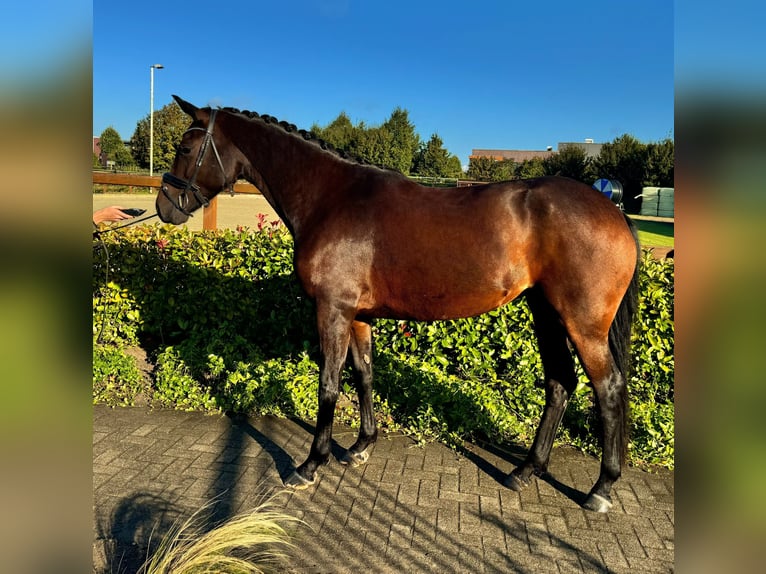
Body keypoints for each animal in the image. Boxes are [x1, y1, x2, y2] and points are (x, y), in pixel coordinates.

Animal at [158, 97, 640, 516]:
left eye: (184, 148)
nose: (165, 207)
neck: (331, 197)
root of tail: (613, 210)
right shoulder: (357, 315)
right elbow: (364, 375)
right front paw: (360, 446)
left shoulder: (332, 310)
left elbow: (329, 384)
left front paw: (311, 464)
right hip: (546, 313)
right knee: (560, 382)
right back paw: (526, 471)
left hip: (582, 324)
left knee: (608, 388)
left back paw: (600, 488)